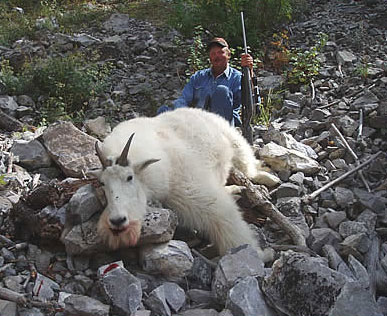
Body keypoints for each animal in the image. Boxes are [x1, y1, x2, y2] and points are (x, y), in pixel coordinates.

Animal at [95, 107, 278, 258]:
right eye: (103, 183)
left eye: (129, 177)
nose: (117, 220)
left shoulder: (188, 185)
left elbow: (223, 216)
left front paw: (262, 254)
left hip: (233, 138)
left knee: (247, 165)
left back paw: (269, 177)